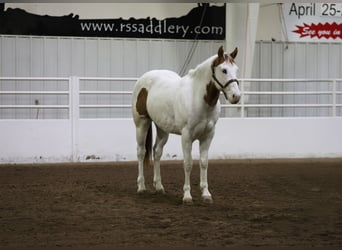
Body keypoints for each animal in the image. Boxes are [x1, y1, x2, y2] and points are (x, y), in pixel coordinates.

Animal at [131, 46, 240, 204]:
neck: (198, 97)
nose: (236, 96)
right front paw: (187, 196)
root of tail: (143, 79)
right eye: (224, 70)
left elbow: (204, 163)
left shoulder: (208, 136)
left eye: (236, 69)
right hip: (141, 124)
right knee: (141, 152)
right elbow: (188, 164)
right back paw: (141, 187)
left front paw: (206, 194)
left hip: (163, 129)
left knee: (157, 152)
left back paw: (159, 187)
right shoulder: (187, 136)